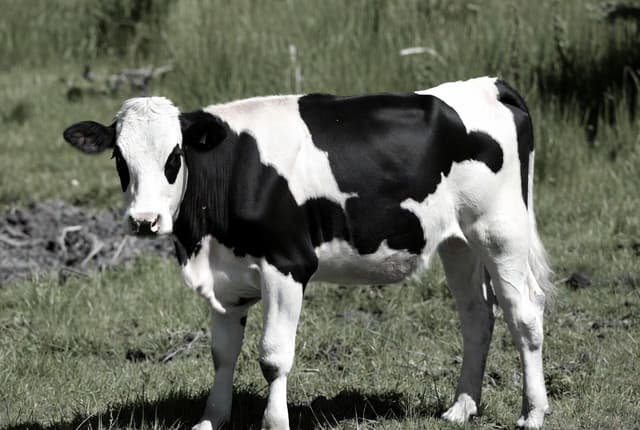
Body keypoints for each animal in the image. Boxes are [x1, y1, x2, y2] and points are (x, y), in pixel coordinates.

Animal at [63, 77, 554, 429]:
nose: (144, 220)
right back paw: (461, 408)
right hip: (458, 241)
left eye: (174, 156)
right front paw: (211, 420)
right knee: (477, 316)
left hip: (500, 230)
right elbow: (223, 353)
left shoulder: (288, 265)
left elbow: (273, 355)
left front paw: (274, 422)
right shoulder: (227, 277)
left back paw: (532, 413)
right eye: (120, 159)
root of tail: (489, 84)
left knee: (524, 312)